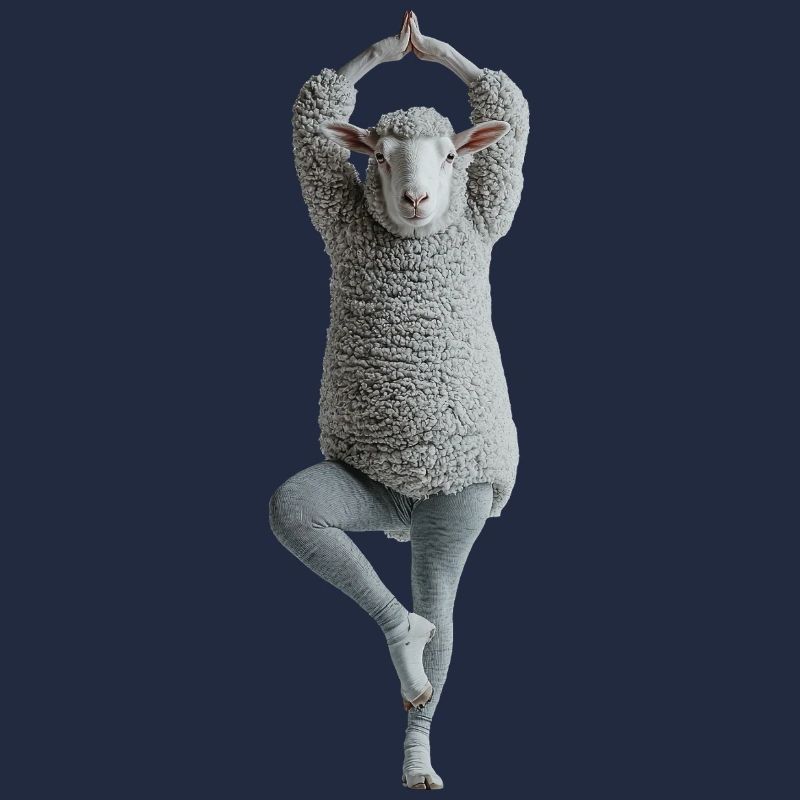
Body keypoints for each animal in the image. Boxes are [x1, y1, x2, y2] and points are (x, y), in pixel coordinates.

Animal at [291, 11, 530, 542]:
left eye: (450, 157)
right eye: (380, 156)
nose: (415, 199)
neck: (415, 238)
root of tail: (404, 513)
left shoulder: (487, 213)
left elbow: (511, 121)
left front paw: (424, 44)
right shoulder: (336, 213)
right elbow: (310, 131)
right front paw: (392, 45)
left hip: (463, 491)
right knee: (291, 509)